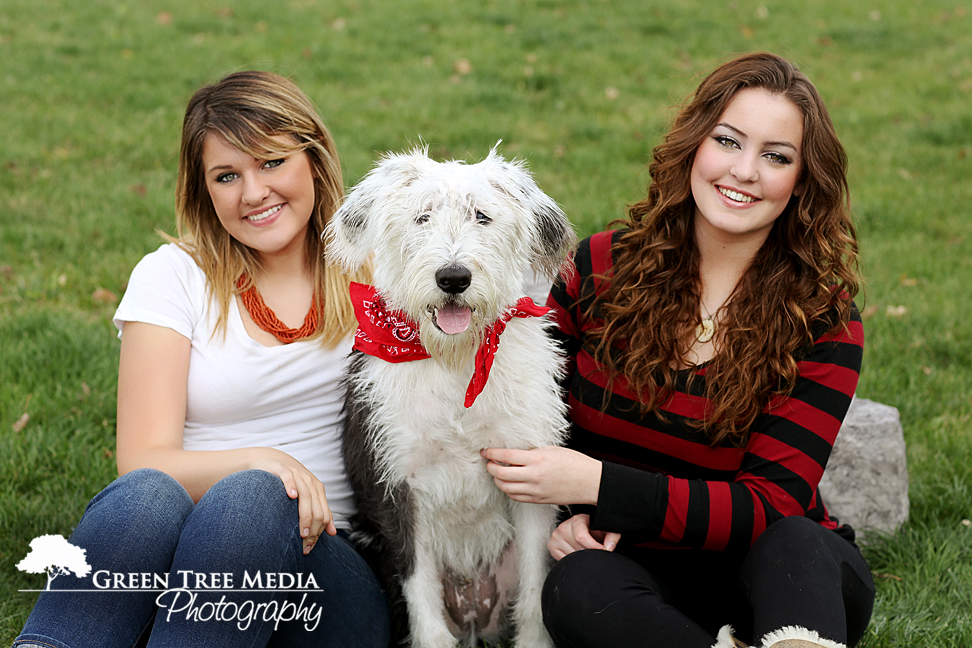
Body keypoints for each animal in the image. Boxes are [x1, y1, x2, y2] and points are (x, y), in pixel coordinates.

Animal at [326, 147, 572, 648]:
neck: (455, 361)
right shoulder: (395, 485)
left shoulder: (530, 475)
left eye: (482, 216)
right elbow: (420, 593)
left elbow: (536, 590)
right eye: (422, 217)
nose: (453, 277)